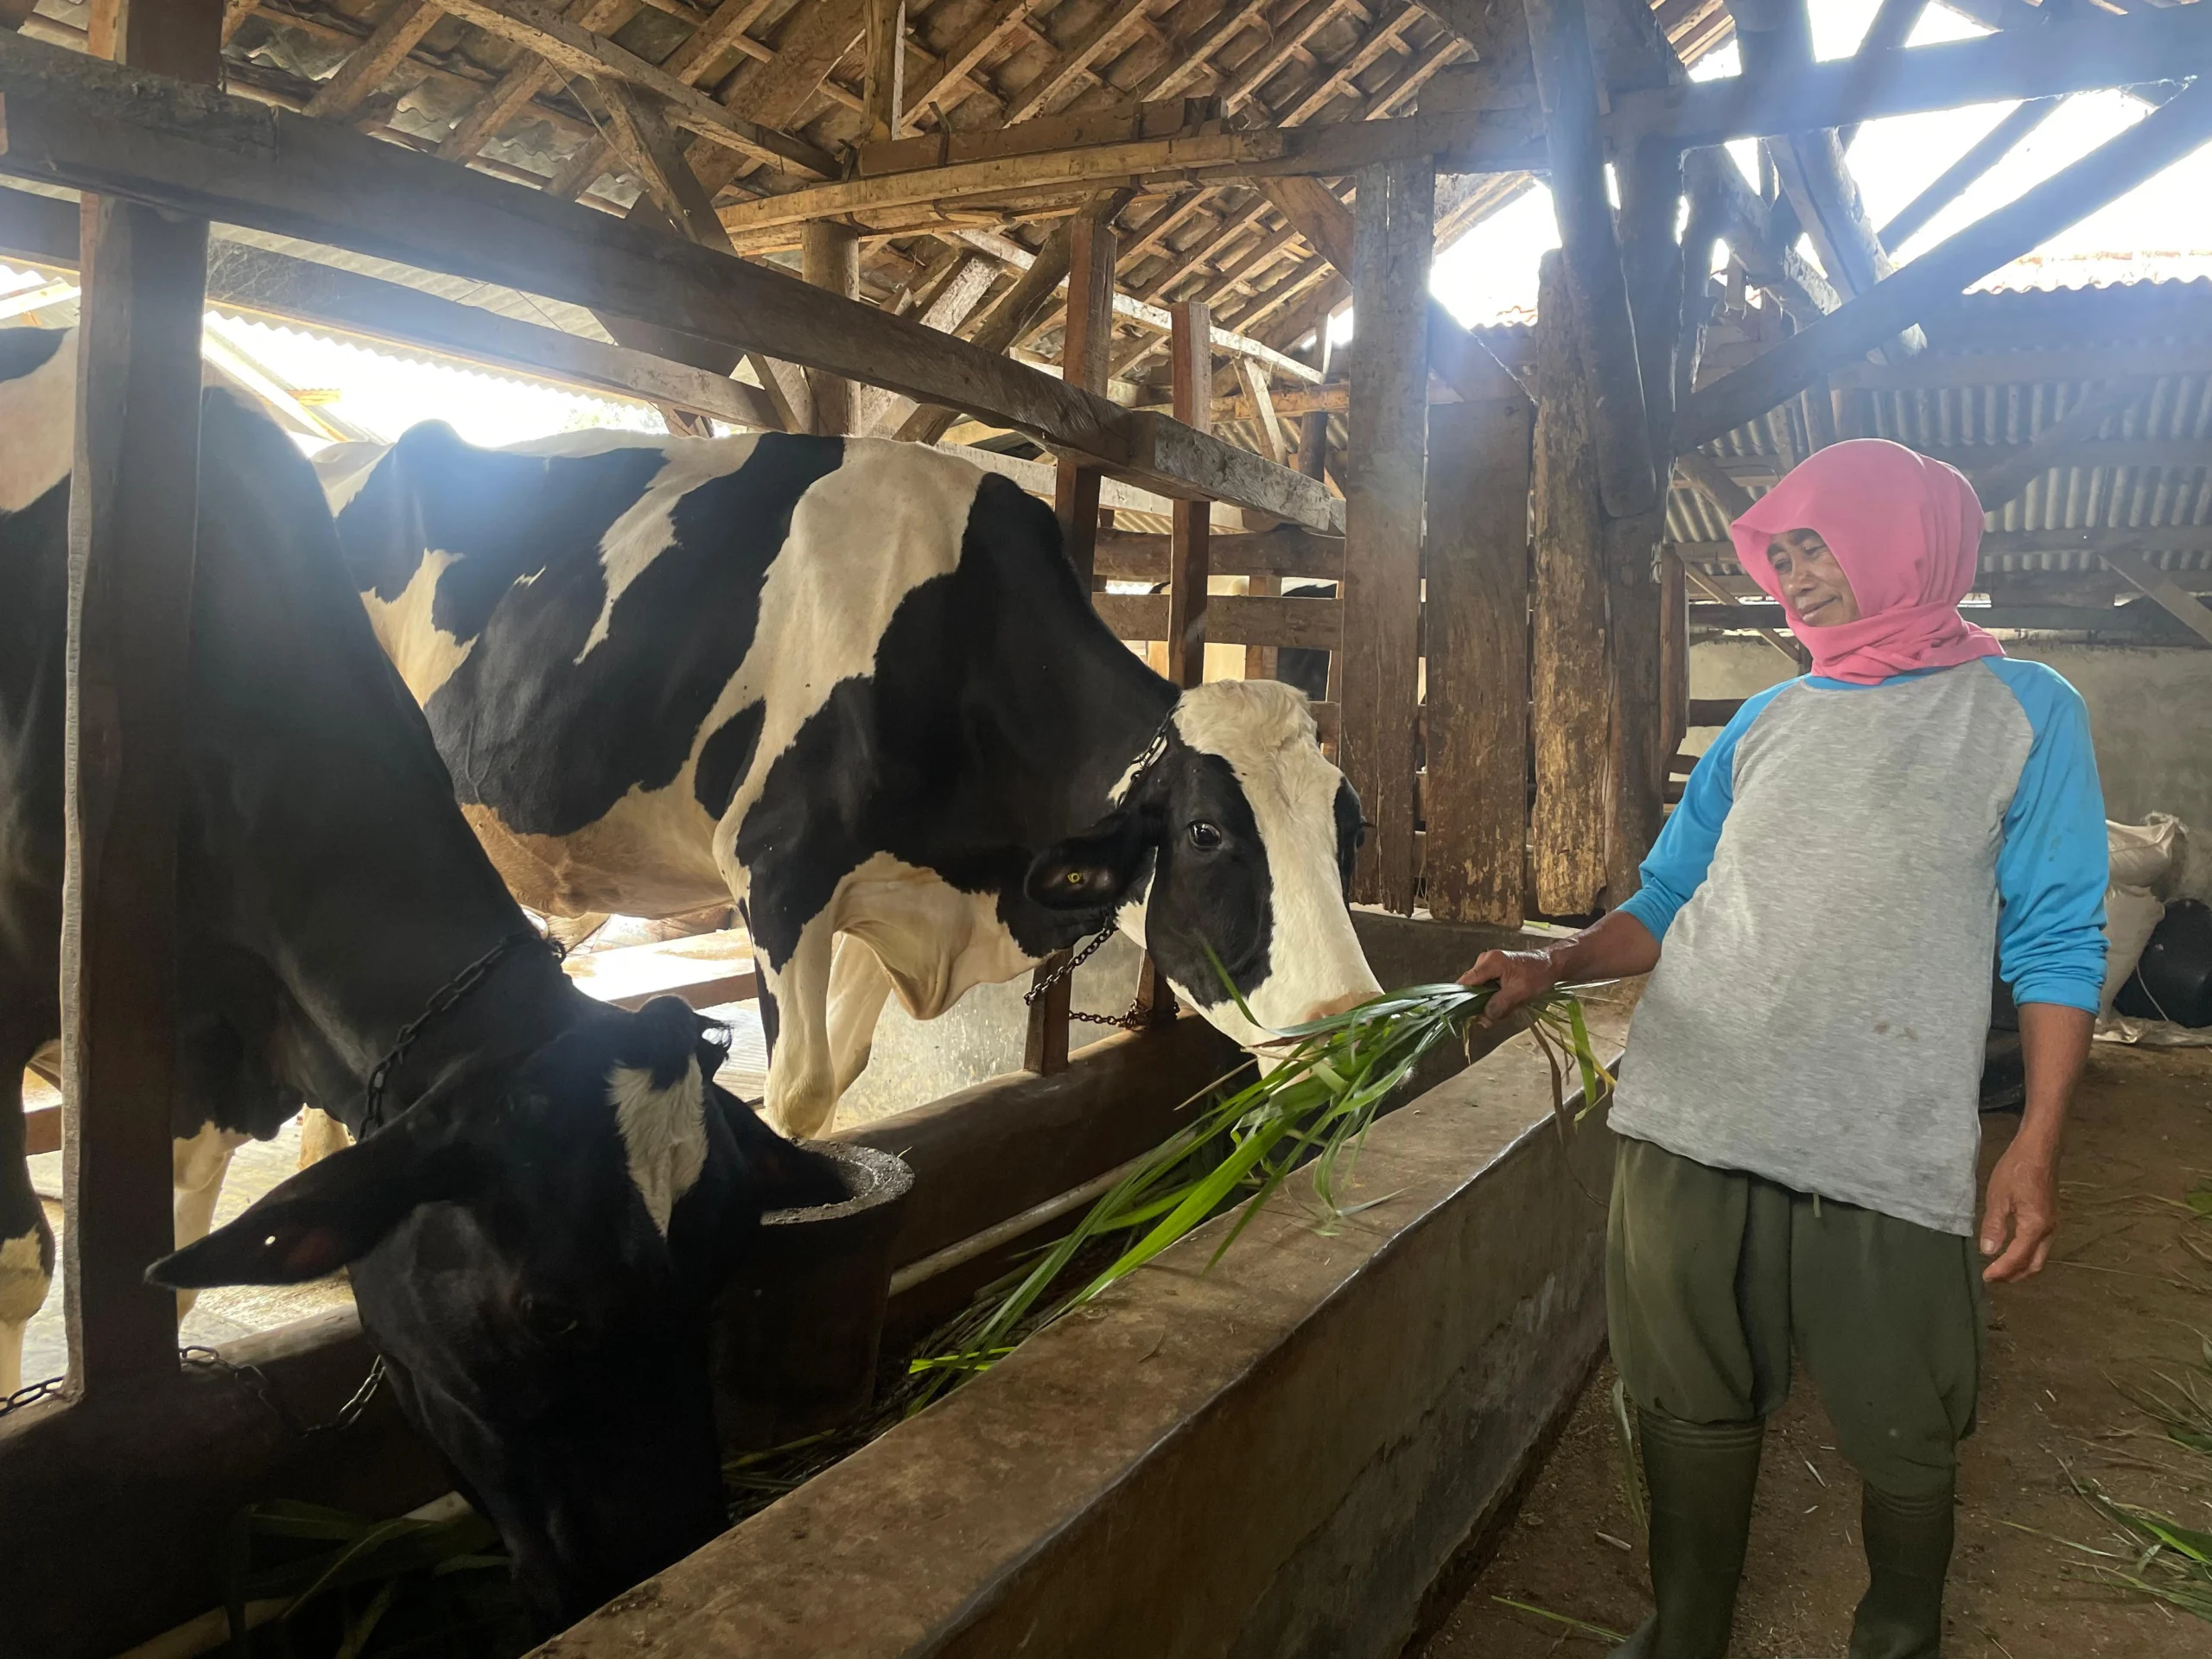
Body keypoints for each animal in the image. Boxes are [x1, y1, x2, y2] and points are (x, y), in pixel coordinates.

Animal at [311, 422, 1380, 1141]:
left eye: (1350, 832)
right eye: (1205, 833)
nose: (1356, 1030)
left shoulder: (888, 893)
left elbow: (848, 1069)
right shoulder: (777, 874)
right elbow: (799, 1091)